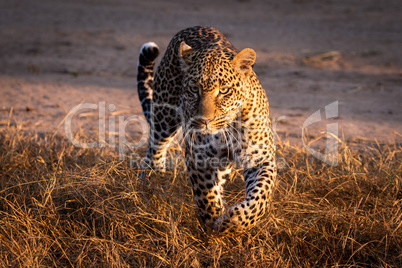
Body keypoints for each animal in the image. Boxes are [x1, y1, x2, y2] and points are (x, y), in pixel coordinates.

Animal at [137, 26, 276, 233]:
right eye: (194, 89)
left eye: (224, 90)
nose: (204, 120)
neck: (228, 128)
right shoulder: (198, 155)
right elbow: (206, 194)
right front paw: (213, 219)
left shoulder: (261, 158)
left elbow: (259, 198)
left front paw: (233, 221)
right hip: (164, 115)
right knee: (155, 149)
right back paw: (153, 181)